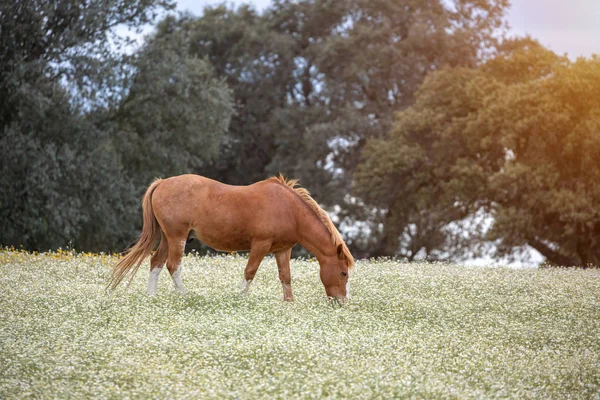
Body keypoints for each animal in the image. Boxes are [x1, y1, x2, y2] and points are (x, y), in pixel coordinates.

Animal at [108, 173, 354, 302]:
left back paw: (151, 297)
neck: (289, 209)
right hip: (177, 237)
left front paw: (289, 303)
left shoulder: (282, 249)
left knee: (156, 263)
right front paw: (240, 298)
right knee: (173, 265)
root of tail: (162, 183)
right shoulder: (260, 245)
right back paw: (186, 296)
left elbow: (285, 277)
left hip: (168, 238)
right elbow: (250, 272)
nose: (341, 302)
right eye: (343, 272)